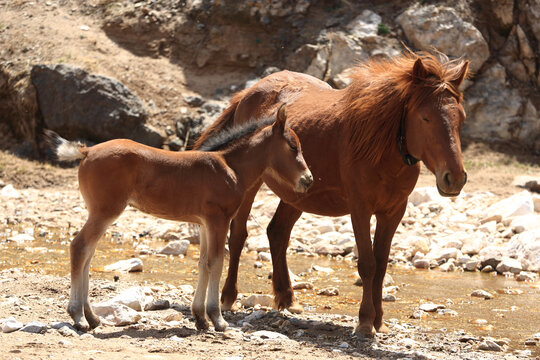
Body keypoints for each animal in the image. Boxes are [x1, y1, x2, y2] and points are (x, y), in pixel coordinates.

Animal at [50, 104, 312, 332]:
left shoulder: (205, 223)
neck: (230, 167)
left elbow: (203, 263)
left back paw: (92, 317)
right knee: (80, 247)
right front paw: (217, 319)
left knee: (88, 252)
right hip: (105, 211)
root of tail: (87, 150)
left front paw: (200, 318)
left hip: (99, 212)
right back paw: (78, 317)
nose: (308, 179)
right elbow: (216, 263)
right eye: (292, 146)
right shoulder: (218, 220)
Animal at [194, 52, 468, 336]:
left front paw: (379, 320)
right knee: (238, 235)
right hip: (252, 184)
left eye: (461, 118)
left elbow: (381, 264)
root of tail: (249, 92)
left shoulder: (393, 212)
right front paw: (365, 321)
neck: (381, 146)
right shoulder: (360, 209)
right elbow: (367, 264)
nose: (455, 178)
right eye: (425, 118)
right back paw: (228, 297)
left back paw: (287, 298)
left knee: (277, 233)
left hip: (298, 194)